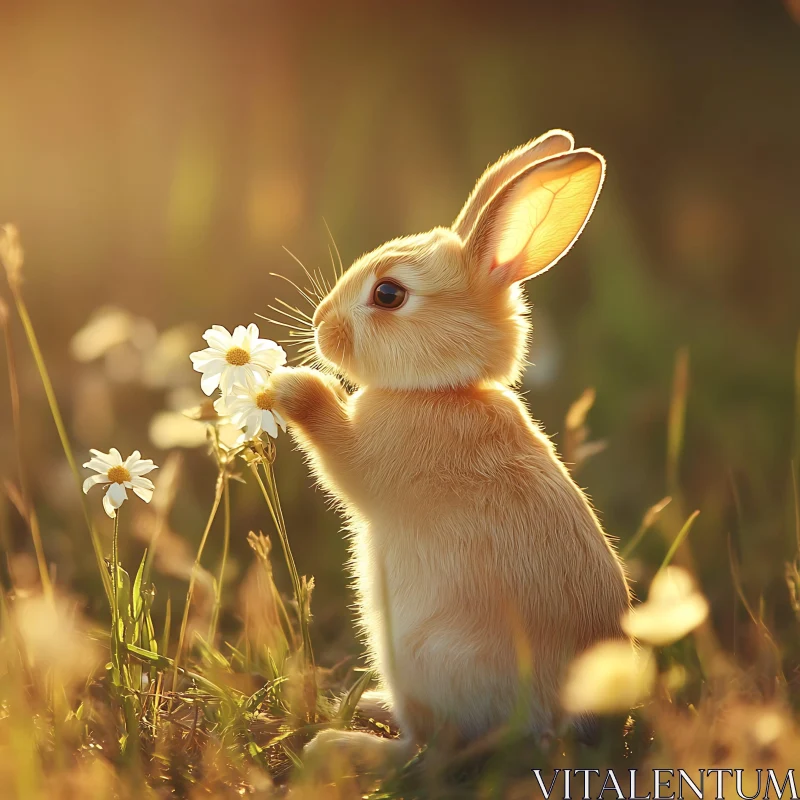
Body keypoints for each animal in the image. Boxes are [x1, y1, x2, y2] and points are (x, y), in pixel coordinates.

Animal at [268, 130, 632, 768]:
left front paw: (290, 386)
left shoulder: (371, 463)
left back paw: (343, 742)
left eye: (388, 294)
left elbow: (338, 452)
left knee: (433, 749)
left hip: (424, 656)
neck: (442, 391)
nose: (319, 325)